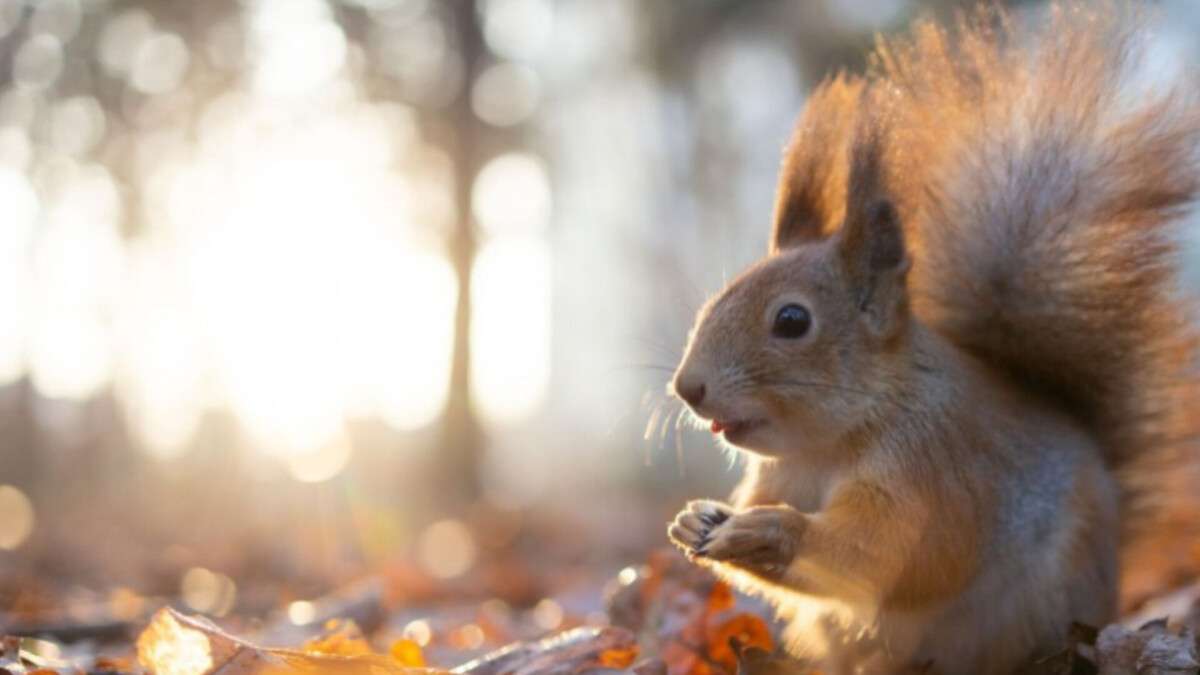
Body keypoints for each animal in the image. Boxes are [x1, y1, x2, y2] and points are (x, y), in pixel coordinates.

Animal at [667, 2, 1200, 667]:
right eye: (713, 302)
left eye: (792, 321)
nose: (688, 389)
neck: (824, 446)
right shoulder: (774, 475)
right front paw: (696, 520)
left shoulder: (929, 473)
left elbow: (885, 555)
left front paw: (768, 531)